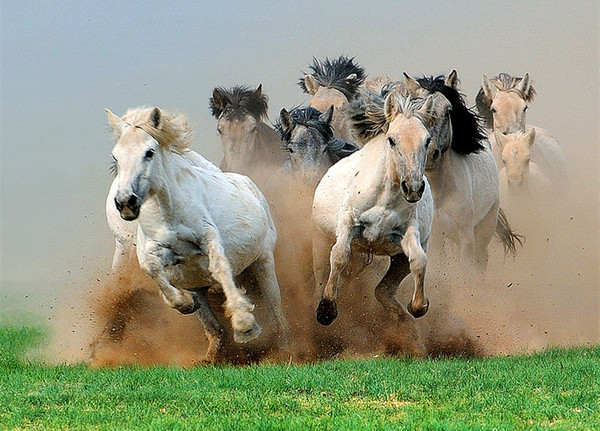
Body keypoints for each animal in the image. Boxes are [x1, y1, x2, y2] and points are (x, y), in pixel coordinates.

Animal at [105, 107, 288, 362]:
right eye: (116, 156)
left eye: (149, 152)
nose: (125, 202)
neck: (169, 212)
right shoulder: (163, 252)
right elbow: (151, 268)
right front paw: (184, 303)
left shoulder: (209, 239)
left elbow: (220, 267)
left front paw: (244, 325)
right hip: (198, 284)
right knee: (214, 328)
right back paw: (211, 356)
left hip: (264, 261)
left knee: (276, 312)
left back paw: (283, 349)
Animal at [312, 94, 434, 348]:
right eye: (392, 140)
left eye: (427, 139)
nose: (414, 188)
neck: (383, 198)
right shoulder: (348, 224)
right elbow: (339, 255)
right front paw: (327, 310)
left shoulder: (406, 233)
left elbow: (419, 261)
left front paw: (418, 306)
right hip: (319, 241)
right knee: (321, 276)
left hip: (396, 260)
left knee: (382, 291)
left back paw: (405, 325)